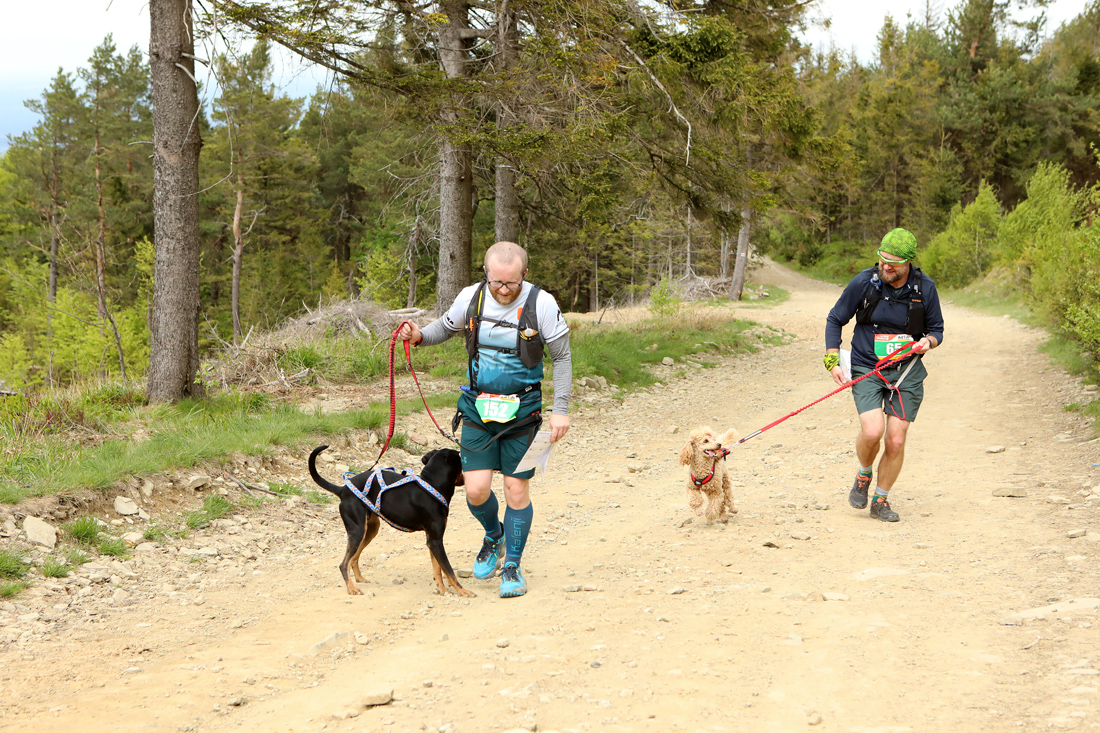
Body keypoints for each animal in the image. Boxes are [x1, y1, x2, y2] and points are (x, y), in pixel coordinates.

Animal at [308, 445, 473, 597]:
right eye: (462, 464)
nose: (466, 479)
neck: (432, 484)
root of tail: (343, 490)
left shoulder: (432, 540)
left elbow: (438, 569)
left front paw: (442, 590)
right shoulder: (435, 540)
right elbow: (449, 570)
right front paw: (463, 591)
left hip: (370, 530)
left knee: (353, 558)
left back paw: (359, 579)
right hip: (357, 530)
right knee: (343, 564)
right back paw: (351, 588)